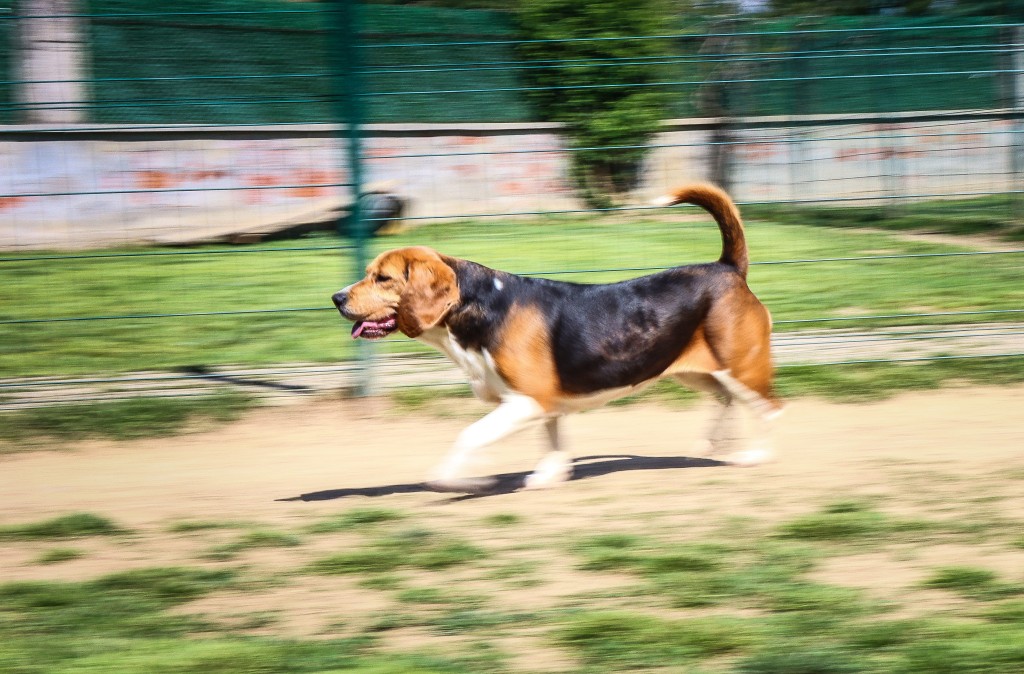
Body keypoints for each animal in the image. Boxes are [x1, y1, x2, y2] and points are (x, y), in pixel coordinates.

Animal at [331, 183, 778, 493]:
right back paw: (715, 443)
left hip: (739, 367)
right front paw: (551, 475)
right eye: (369, 274)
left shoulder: (527, 400)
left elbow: (469, 436)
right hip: (695, 371)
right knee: (727, 400)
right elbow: (554, 440)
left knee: (769, 409)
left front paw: (460, 481)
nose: (336, 298)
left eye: (382, 278)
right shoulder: (544, 404)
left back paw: (755, 455)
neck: (480, 305)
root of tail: (727, 267)